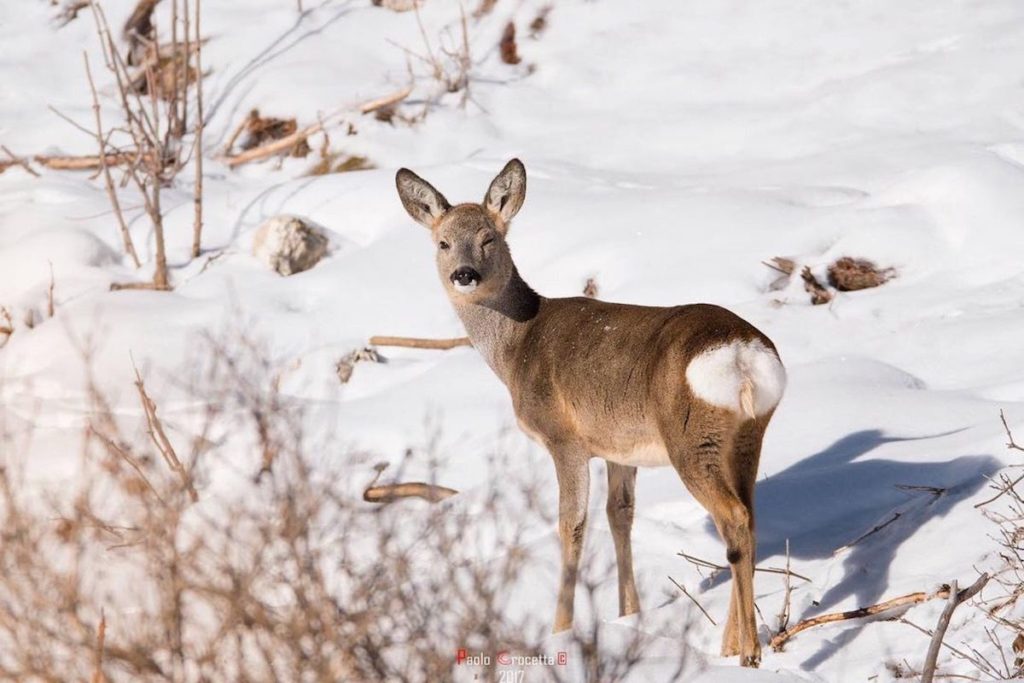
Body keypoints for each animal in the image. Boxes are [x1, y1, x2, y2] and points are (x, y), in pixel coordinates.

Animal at [395, 157, 786, 663]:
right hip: (747, 434)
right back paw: (731, 644)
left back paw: (748, 652)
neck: (517, 347)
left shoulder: (564, 438)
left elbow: (571, 525)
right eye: (443, 242)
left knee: (734, 519)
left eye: (489, 238)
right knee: (749, 519)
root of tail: (741, 356)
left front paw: (559, 629)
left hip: (690, 437)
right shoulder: (618, 448)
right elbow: (620, 516)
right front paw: (628, 615)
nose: (464, 274)